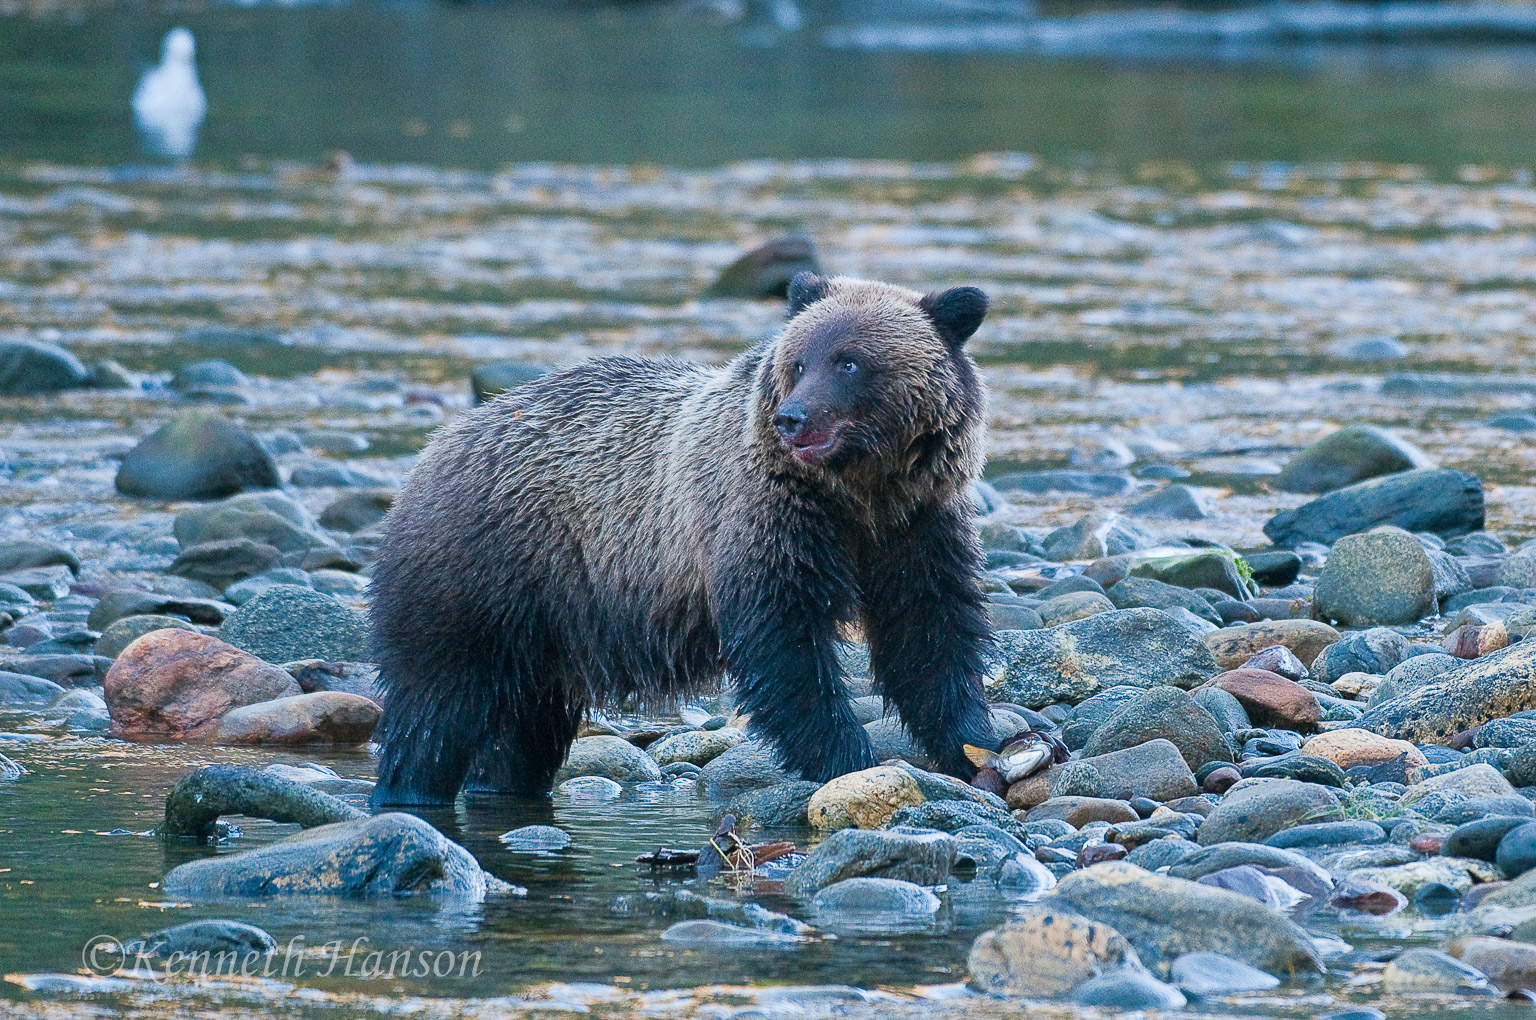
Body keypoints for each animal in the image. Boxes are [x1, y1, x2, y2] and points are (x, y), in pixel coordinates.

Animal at [368, 270, 995, 804]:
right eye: (797, 362)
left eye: (850, 362)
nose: (792, 418)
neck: (857, 490)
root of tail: (437, 446)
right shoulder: (765, 519)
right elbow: (787, 646)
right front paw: (847, 757)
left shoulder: (915, 526)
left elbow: (928, 631)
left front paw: (975, 748)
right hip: (482, 570)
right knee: (437, 705)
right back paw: (408, 791)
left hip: (548, 623)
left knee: (523, 727)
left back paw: (500, 784)